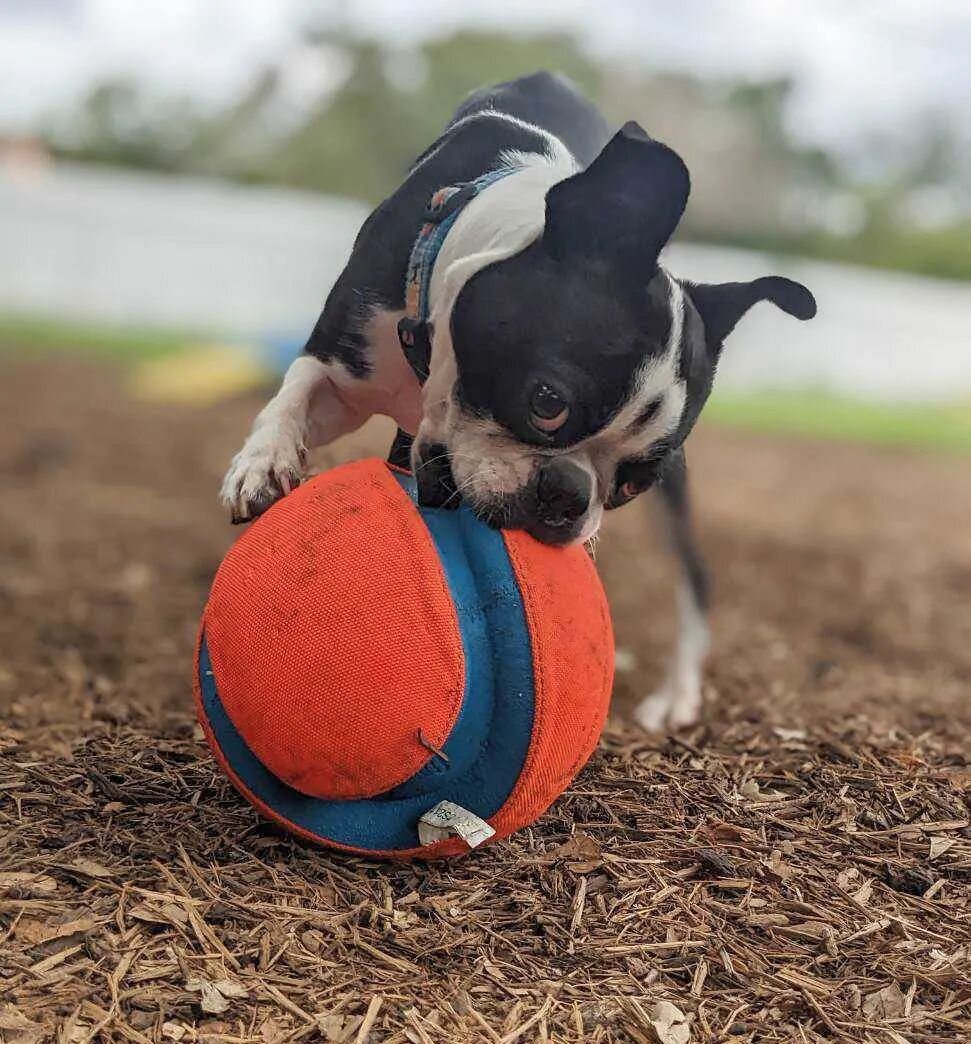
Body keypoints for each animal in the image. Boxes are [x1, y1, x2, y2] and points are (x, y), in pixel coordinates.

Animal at [221, 73, 818, 730]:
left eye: (633, 483)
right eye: (547, 402)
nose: (568, 494)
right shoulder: (343, 367)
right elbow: (294, 394)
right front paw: (263, 464)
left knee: (695, 575)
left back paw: (677, 692)